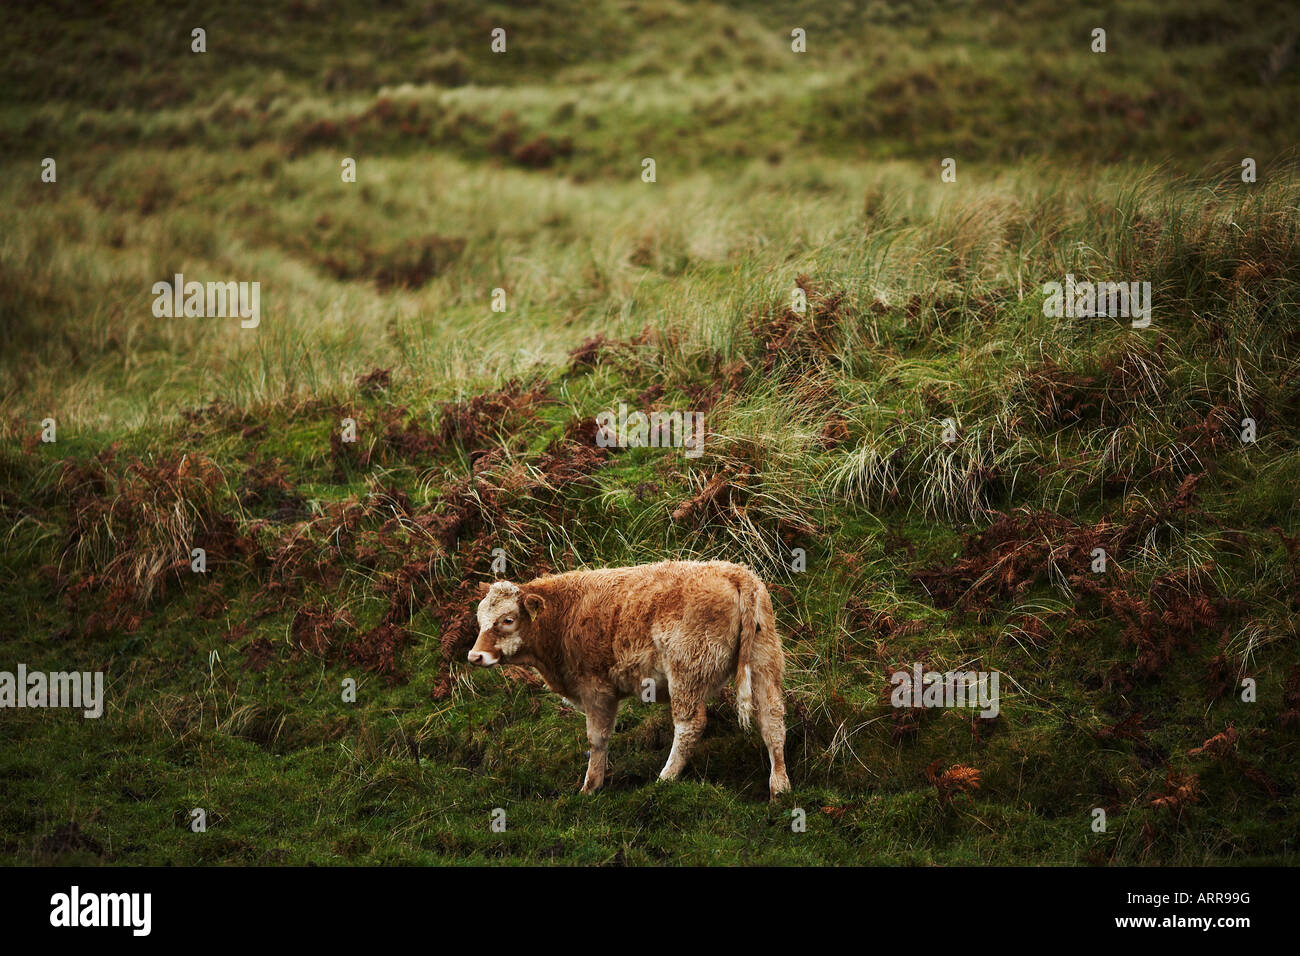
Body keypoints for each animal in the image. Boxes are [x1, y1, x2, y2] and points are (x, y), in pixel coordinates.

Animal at [467, 561, 790, 801]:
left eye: (507, 620)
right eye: (480, 620)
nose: (475, 656)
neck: (564, 616)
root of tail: (735, 573)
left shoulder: (596, 689)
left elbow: (597, 739)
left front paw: (590, 787)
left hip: (686, 671)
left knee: (689, 726)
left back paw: (665, 778)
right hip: (764, 662)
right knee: (772, 720)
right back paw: (779, 787)